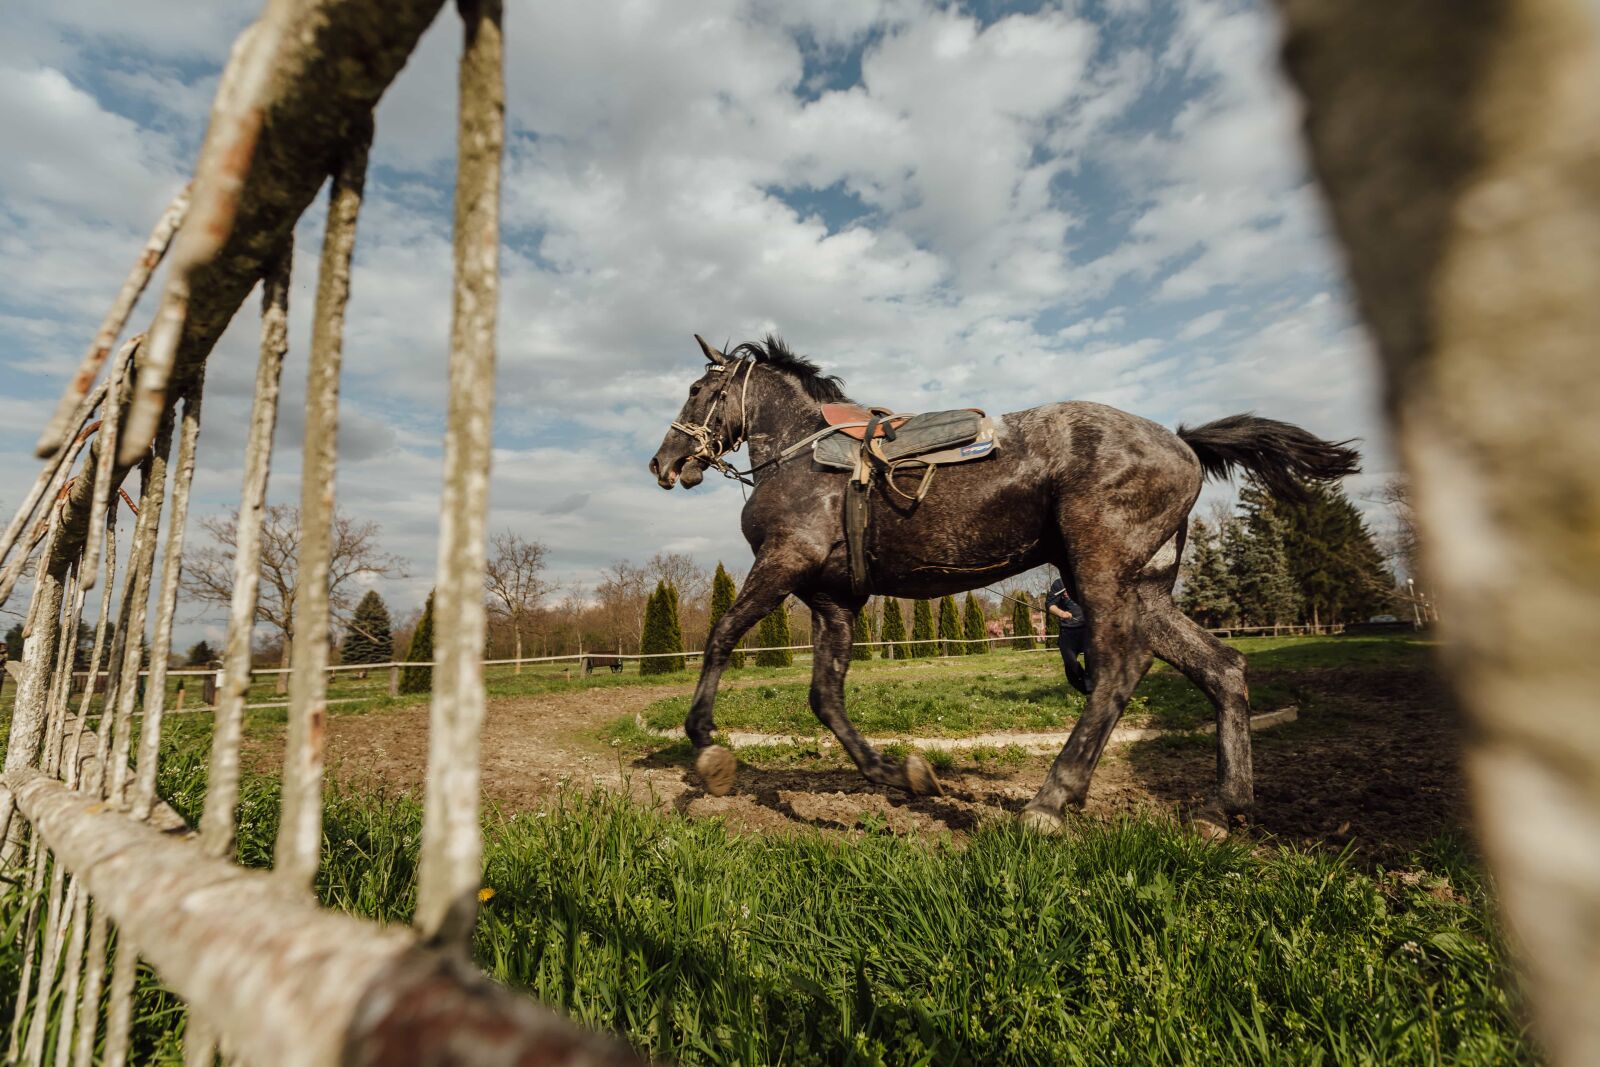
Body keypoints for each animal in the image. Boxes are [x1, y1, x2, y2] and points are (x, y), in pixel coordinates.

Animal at [649, 334, 1358, 833]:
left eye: (697, 389)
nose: (664, 463)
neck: (804, 455)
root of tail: (1183, 443)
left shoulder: (783, 564)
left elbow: (721, 636)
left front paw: (705, 743)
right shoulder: (834, 601)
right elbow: (826, 698)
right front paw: (899, 773)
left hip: (1102, 576)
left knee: (1120, 671)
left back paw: (1050, 801)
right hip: (1145, 589)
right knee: (1223, 669)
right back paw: (1221, 807)